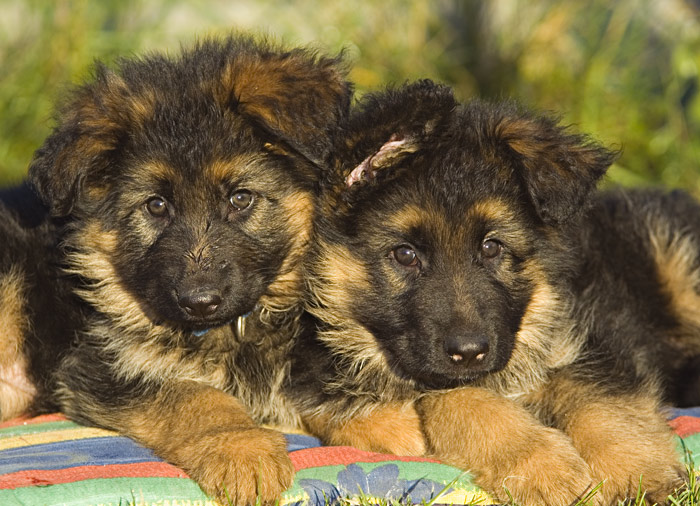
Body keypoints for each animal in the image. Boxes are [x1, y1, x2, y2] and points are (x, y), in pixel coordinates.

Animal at [0, 34, 350, 502]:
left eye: (241, 198)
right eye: (156, 205)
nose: (199, 302)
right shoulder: (98, 366)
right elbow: (196, 396)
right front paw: (241, 448)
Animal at [292, 81, 692, 504]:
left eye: (491, 247)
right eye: (405, 254)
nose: (469, 352)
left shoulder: (598, 330)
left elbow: (598, 396)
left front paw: (638, 472)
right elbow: (456, 398)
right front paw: (541, 465)